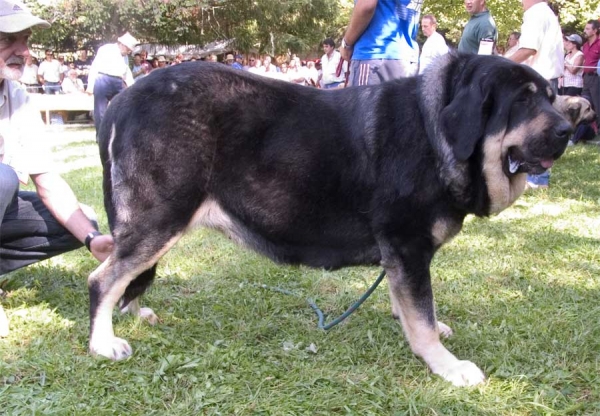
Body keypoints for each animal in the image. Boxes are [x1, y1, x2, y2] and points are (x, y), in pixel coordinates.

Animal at [89, 54, 572, 386]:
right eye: (522, 102)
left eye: (550, 98)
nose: (569, 128)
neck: (435, 130)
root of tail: (121, 100)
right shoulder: (408, 245)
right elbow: (421, 313)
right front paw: (444, 364)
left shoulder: (400, 254)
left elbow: (408, 303)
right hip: (161, 216)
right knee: (103, 279)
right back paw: (102, 342)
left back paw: (133, 313)